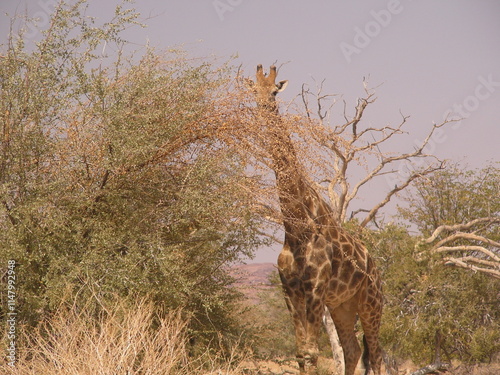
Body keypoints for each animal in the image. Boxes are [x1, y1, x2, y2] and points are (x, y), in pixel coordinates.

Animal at [248, 65, 384, 375]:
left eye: (274, 92)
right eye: (254, 90)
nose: (262, 106)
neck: (296, 227)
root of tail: (375, 268)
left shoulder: (315, 289)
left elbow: (311, 352)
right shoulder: (290, 290)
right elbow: (301, 353)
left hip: (371, 304)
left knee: (377, 353)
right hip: (342, 306)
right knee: (353, 349)